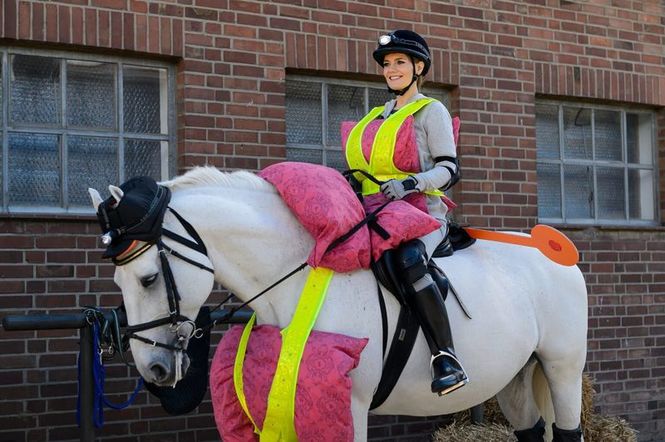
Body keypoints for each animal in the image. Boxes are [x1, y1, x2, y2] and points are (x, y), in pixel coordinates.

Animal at [88, 167, 588, 440]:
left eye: (149, 277)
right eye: (118, 278)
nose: (152, 369)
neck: (298, 278)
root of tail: (554, 250)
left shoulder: (348, 407)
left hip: (561, 369)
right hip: (516, 377)